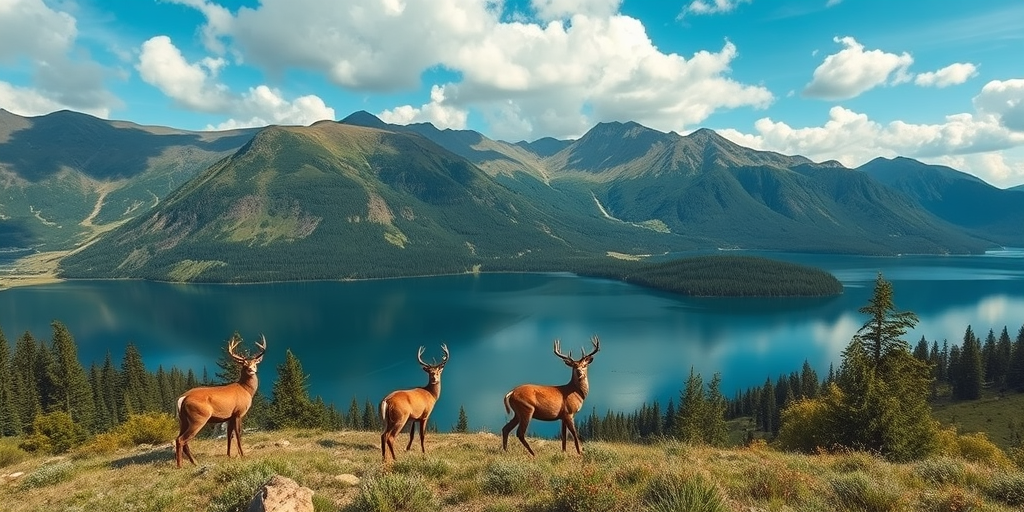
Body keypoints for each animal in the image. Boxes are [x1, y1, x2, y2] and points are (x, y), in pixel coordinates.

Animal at [174, 334, 266, 468]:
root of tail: (182, 398)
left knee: (179, 438)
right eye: (244, 364)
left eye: (255, 363)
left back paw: (194, 462)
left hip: (183, 420)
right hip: (198, 417)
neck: (246, 389)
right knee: (182, 439)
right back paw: (180, 466)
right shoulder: (238, 412)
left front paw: (229, 455)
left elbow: (229, 435)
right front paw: (242, 455)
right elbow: (238, 434)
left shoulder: (229, 416)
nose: (251, 369)